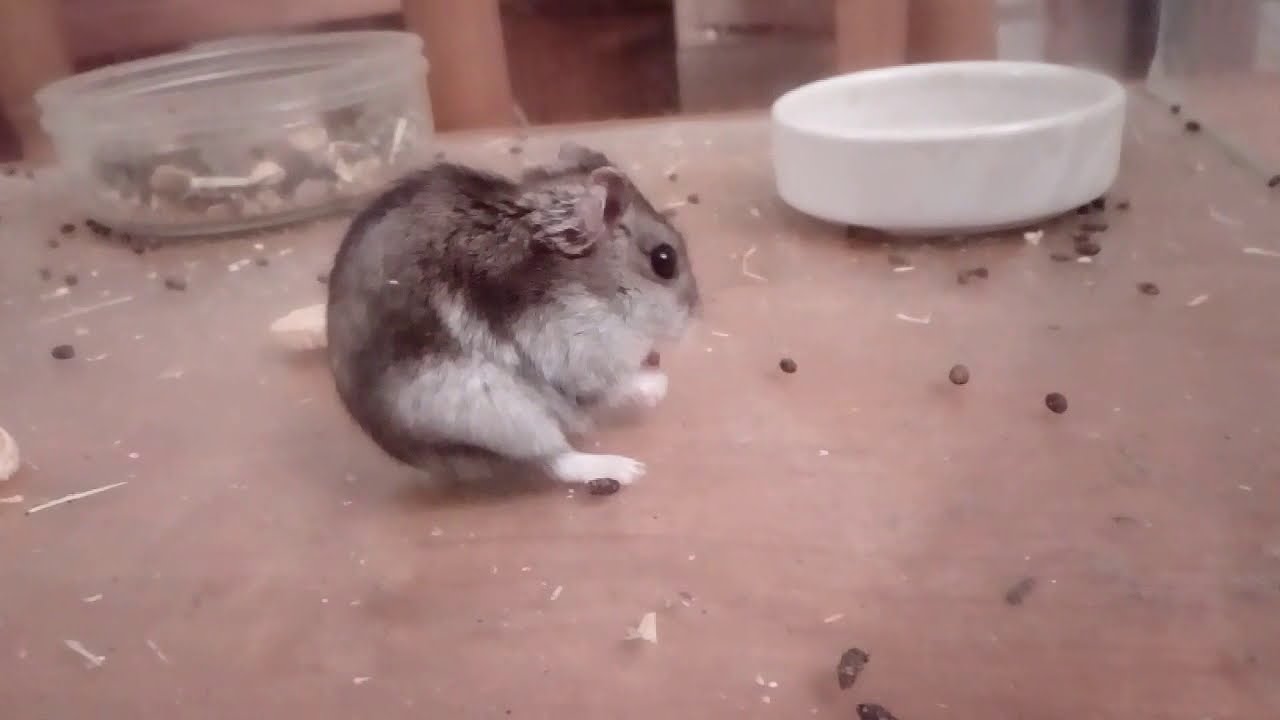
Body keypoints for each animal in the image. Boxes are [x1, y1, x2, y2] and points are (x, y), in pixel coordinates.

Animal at [326, 142, 699, 486]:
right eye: (664, 260)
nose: (695, 314)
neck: (591, 285)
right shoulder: (574, 353)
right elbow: (612, 387)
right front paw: (659, 385)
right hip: (502, 412)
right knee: (554, 460)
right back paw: (627, 469)